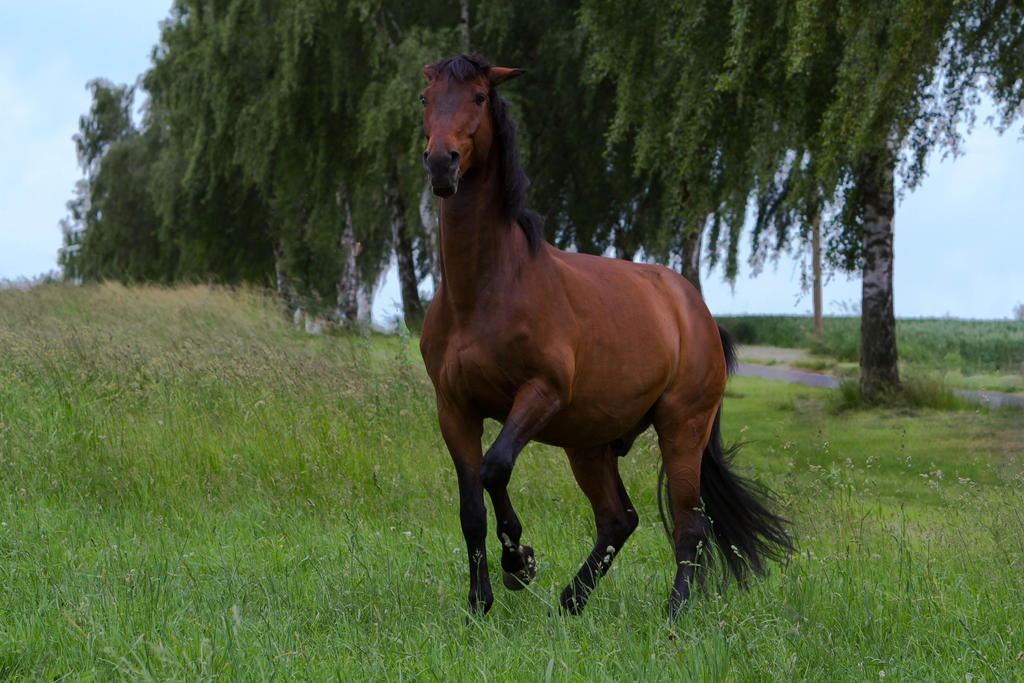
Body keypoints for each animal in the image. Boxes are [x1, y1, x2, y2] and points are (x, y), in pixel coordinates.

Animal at [415, 56, 790, 618]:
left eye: (479, 96)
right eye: (426, 97)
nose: (442, 163)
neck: (484, 290)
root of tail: (696, 311)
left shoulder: (540, 393)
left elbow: (496, 468)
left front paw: (518, 563)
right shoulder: (454, 410)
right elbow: (471, 507)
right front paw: (480, 602)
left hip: (682, 429)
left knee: (689, 523)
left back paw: (673, 613)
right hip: (588, 443)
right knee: (619, 518)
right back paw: (571, 601)